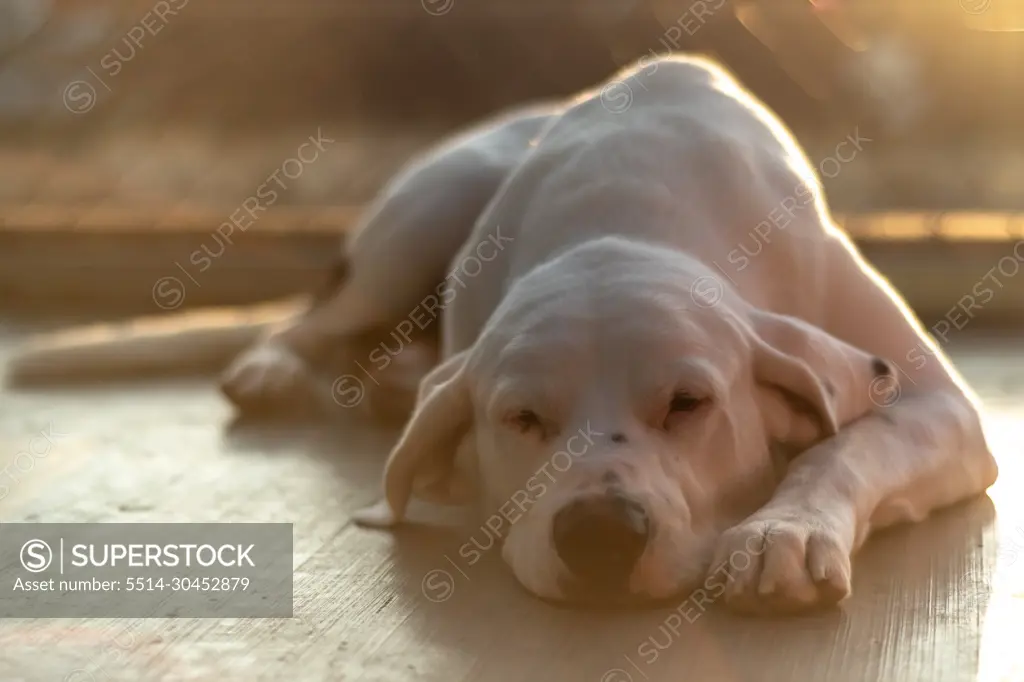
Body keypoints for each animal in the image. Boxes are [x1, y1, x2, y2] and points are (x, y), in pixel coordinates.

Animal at [8, 55, 995, 614]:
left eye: (690, 404)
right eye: (519, 420)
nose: (601, 535)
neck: (629, 205)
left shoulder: (941, 409)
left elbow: (847, 446)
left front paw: (780, 533)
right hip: (421, 214)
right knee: (317, 317)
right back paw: (276, 366)